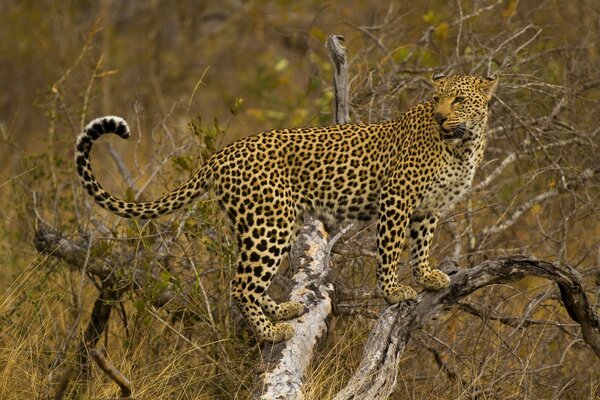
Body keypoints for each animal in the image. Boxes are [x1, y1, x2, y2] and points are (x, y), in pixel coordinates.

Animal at [74, 72, 496, 340]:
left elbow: (421, 244)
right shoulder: (397, 198)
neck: (463, 143)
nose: (440, 116)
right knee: (241, 286)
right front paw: (394, 291)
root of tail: (221, 154)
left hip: (263, 223)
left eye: (458, 99)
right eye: (437, 99)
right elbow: (391, 250)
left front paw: (427, 276)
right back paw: (272, 331)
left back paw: (281, 312)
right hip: (270, 224)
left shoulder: (427, 208)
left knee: (250, 280)